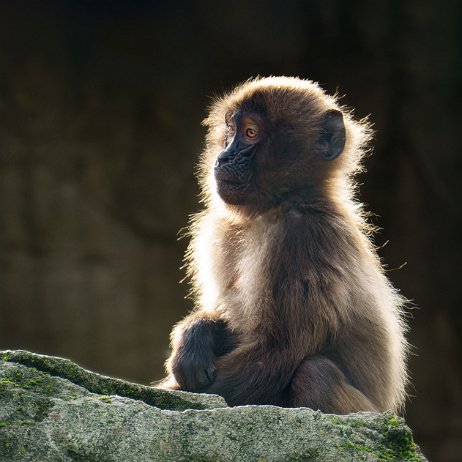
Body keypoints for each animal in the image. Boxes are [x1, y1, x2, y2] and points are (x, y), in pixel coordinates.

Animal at [159, 76, 408, 416]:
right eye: (230, 131)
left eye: (250, 133)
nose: (223, 158)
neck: (277, 206)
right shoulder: (226, 231)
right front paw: (197, 334)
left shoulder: (305, 237)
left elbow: (277, 355)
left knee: (315, 374)